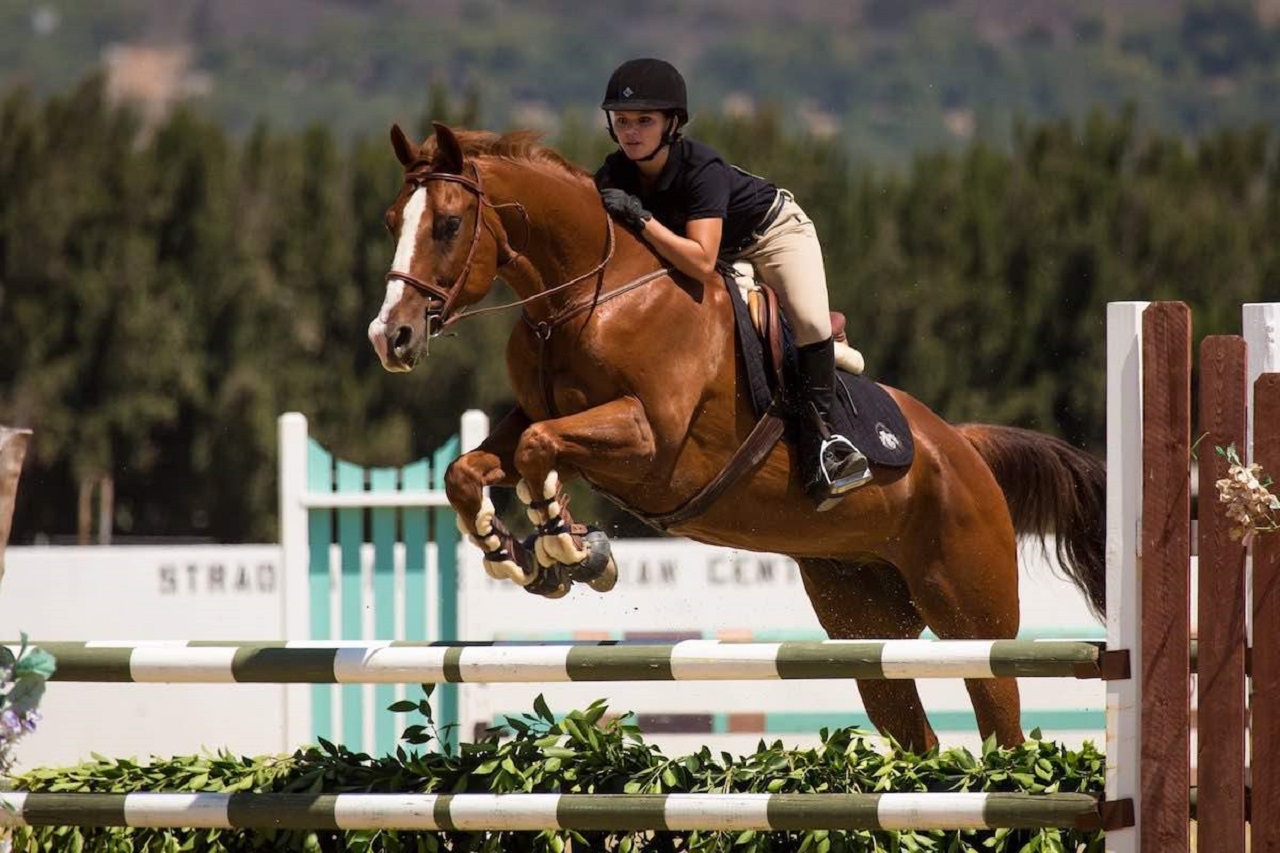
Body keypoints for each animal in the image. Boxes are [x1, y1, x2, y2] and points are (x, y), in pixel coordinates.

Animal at [366, 121, 1105, 753]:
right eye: (392, 222)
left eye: (449, 224)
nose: (390, 337)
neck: (587, 298)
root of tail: (962, 447)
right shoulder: (540, 417)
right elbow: (476, 468)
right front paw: (523, 553)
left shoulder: (650, 438)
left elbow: (538, 450)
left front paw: (569, 548)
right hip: (865, 624)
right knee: (916, 737)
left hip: (973, 619)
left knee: (1002, 724)